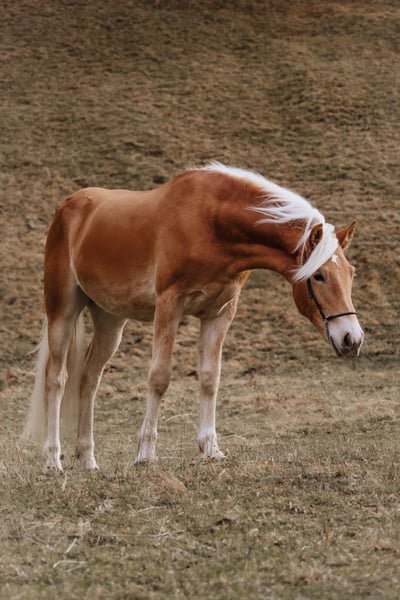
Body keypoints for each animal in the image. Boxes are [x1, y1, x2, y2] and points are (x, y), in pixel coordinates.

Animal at [21, 162, 364, 471]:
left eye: (351, 272)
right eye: (319, 276)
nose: (352, 338)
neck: (212, 222)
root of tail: (69, 206)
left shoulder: (219, 313)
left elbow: (210, 378)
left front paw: (211, 449)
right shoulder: (169, 306)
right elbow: (159, 378)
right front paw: (146, 454)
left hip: (110, 318)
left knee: (89, 378)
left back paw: (88, 460)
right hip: (62, 311)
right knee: (56, 378)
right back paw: (52, 459)